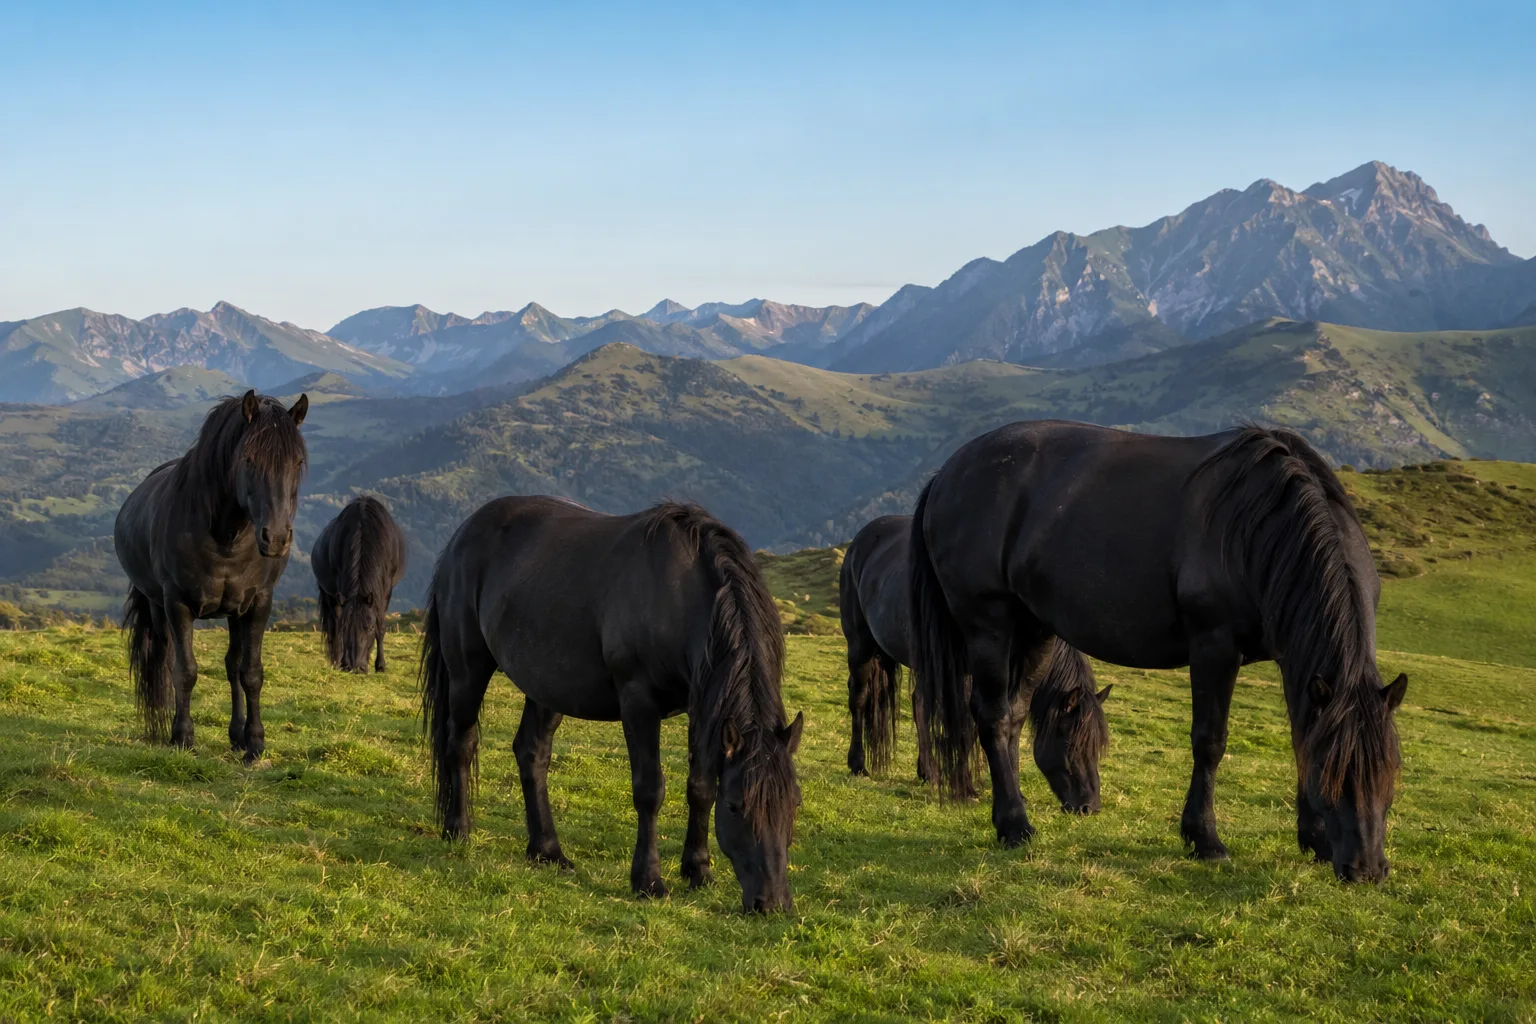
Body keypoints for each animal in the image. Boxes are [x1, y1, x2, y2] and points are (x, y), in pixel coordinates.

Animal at [114, 390, 309, 764]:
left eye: (297, 463)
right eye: (248, 459)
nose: (276, 538)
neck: (227, 538)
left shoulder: (258, 602)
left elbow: (250, 672)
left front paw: (254, 744)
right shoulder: (177, 603)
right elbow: (185, 671)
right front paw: (183, 737)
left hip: (234, 611)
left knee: (233, 665)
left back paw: (236, 736)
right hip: (157, 606)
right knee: (164, 659)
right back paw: (166, 727)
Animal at [313, 495, 408, 673]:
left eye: (369, 628)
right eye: (346, 628)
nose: (355, 667)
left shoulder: (386, 590)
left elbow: (380, 626)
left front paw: (381, 665)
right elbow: (339, 625)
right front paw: (342, 661)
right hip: (329, 595)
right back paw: (336, 660)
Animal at [419, 497, 803, 913]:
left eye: (794, 804)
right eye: (735, 806)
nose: (773, 903)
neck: (680, 594)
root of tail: (463, 534)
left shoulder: (702, 709)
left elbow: (700, 788)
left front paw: (698, 871)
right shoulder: (638, 703)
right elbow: (650, 790)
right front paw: (649, 881)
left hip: (547, 685)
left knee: (531, 753)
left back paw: (547, 850)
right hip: (467, 670)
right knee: (461, 744)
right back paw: (458, 830)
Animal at [840, 514, 1111, 815]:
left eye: (1098, 747)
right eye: (1071, 743)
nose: (1090, 806)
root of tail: (862, 540)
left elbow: (1011, 724)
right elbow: (969, 728)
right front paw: (966, 788)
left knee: (919, 704)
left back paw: (927, 771)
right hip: (861, 647)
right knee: (859, 698)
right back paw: (858, 764)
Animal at [911, 421, 1407, 882]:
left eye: (1389, 772)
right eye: (1338, 774)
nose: (1367, 870)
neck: (1259, 525)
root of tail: (946, 474)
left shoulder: (1293, 660)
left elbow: (1303, 735)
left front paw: (1314, 840)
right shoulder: (1214, 647)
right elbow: (1209, 741)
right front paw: (1204, 839)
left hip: (1033, 631)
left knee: (1013, 716)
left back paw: (1013, 815)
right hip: (988, 625)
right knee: (993, 717)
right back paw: (1015, 826)